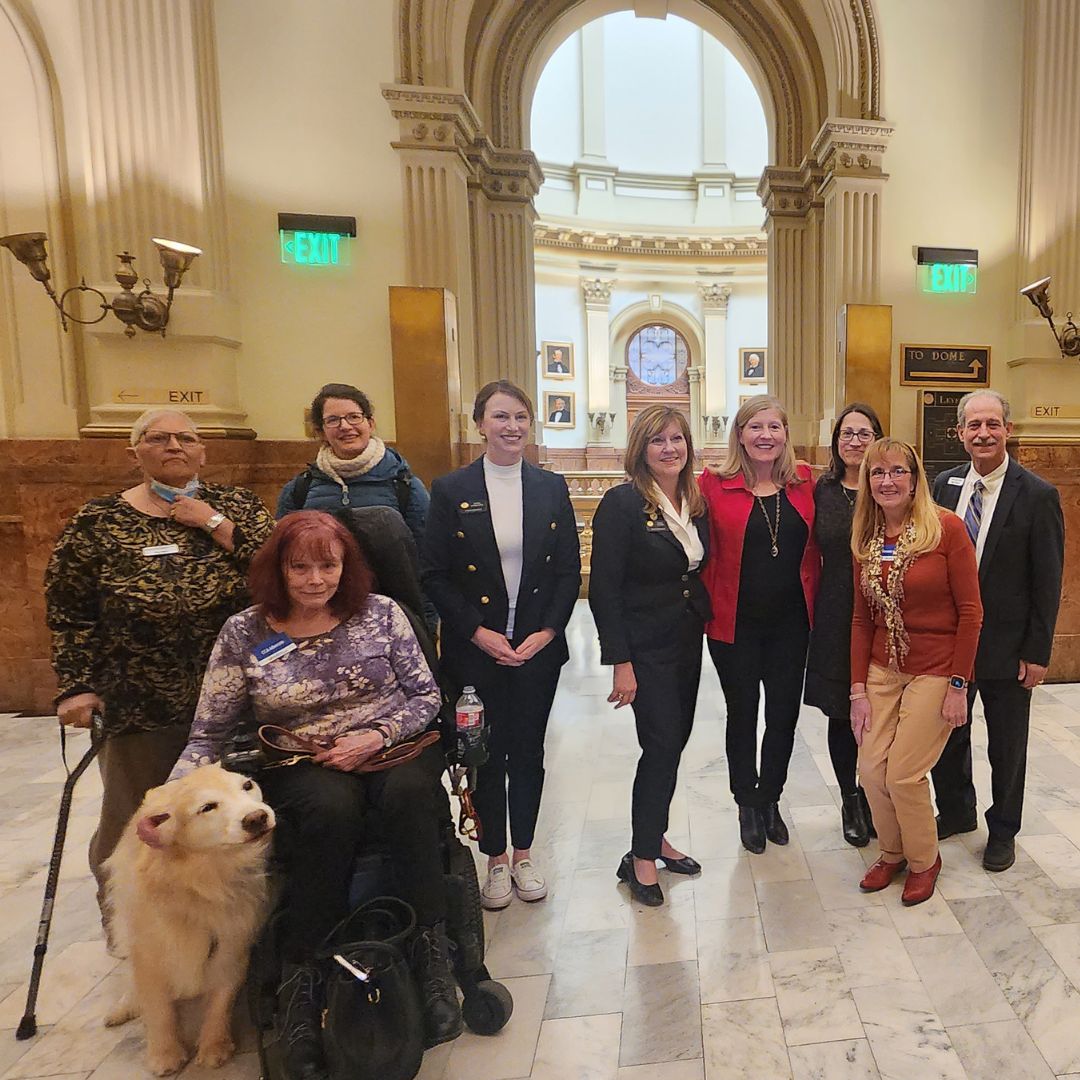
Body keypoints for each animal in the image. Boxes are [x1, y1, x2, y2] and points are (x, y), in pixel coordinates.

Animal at [103, 764, 276, 1075]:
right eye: (207, 807)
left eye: (247, 786)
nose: (257, 818)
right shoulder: (150, 951)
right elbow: (158, 1008)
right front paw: (165, 1055)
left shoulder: (233, 940)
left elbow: (220, 998)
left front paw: (214, 1046)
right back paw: (122, 1009)